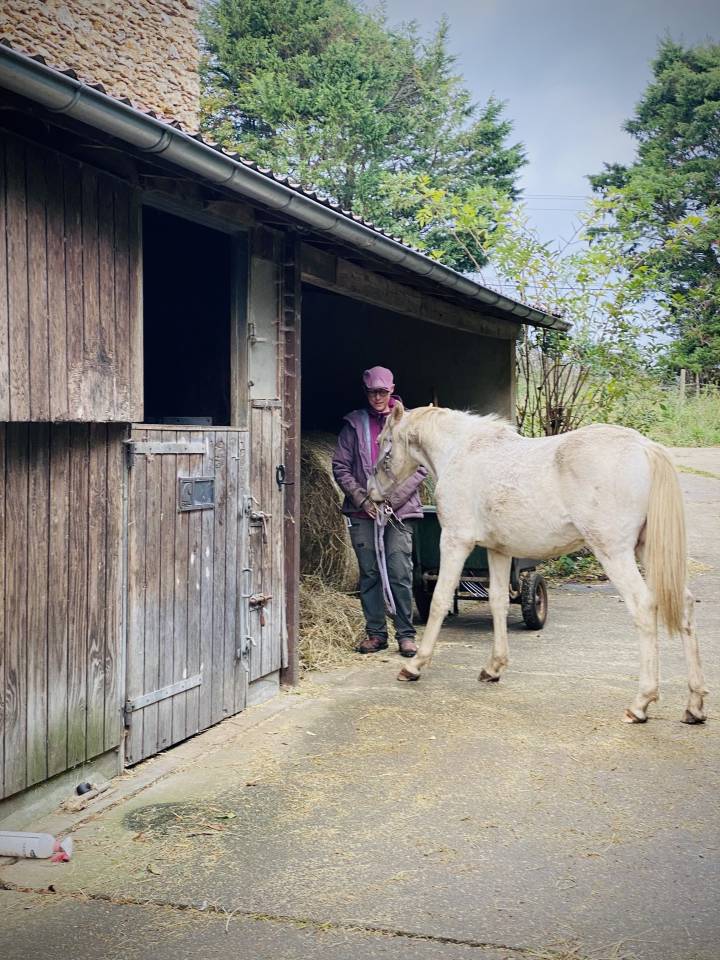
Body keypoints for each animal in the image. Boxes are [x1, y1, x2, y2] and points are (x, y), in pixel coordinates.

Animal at [367, 404, 707, 725]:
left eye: (383, 443)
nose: (372, 494)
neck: (462, 449)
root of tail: (644, 447)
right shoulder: (498, 550)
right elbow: (498, 602)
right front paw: (494, 668)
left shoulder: (455, 541)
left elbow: (439, 600)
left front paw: (414, 666)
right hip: (646, 549)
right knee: (686, 604)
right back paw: (694, 706)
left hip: (614, 552)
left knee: (644, 606)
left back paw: (640, 704)